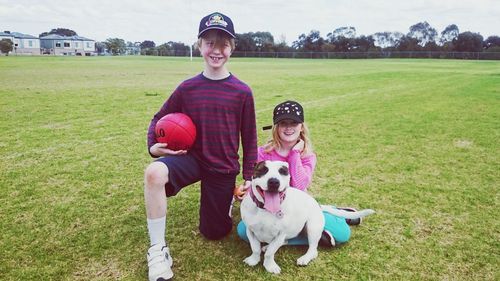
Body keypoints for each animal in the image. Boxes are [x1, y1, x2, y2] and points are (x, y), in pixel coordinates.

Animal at [239, 161, 376, 272]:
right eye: (263, 170)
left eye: (283, 171)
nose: (274, 181)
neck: (266, 210)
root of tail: (317, 204)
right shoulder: (250, 230)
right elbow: (255, 248)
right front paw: (253, 260)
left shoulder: (280, 234)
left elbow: (270, 252)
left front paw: (270, 266)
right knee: (286, 241)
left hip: (312, 227)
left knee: (313, 249)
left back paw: (305, 257)